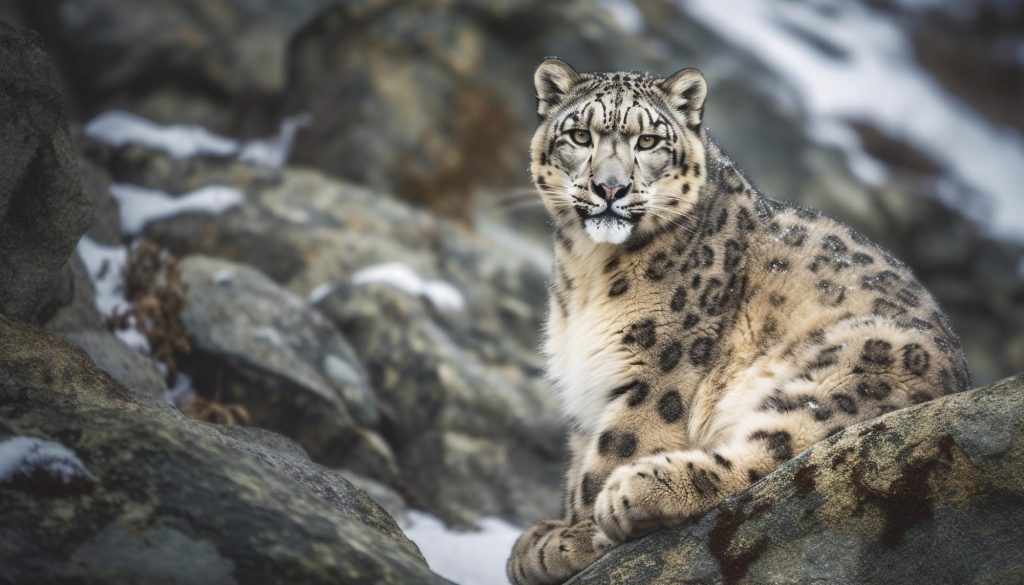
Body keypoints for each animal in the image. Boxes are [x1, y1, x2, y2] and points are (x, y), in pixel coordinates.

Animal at [506, 58, 970, 585]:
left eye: (648, 142)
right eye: (580, 135)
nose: (610, 188)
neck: (586, 271)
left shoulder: (660, 366)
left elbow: (615, 449)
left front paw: (572, 539)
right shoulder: (589, 383)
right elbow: (579, 467)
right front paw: (551, 533)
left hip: (857, 363)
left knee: (778, 457)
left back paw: (634, 493)